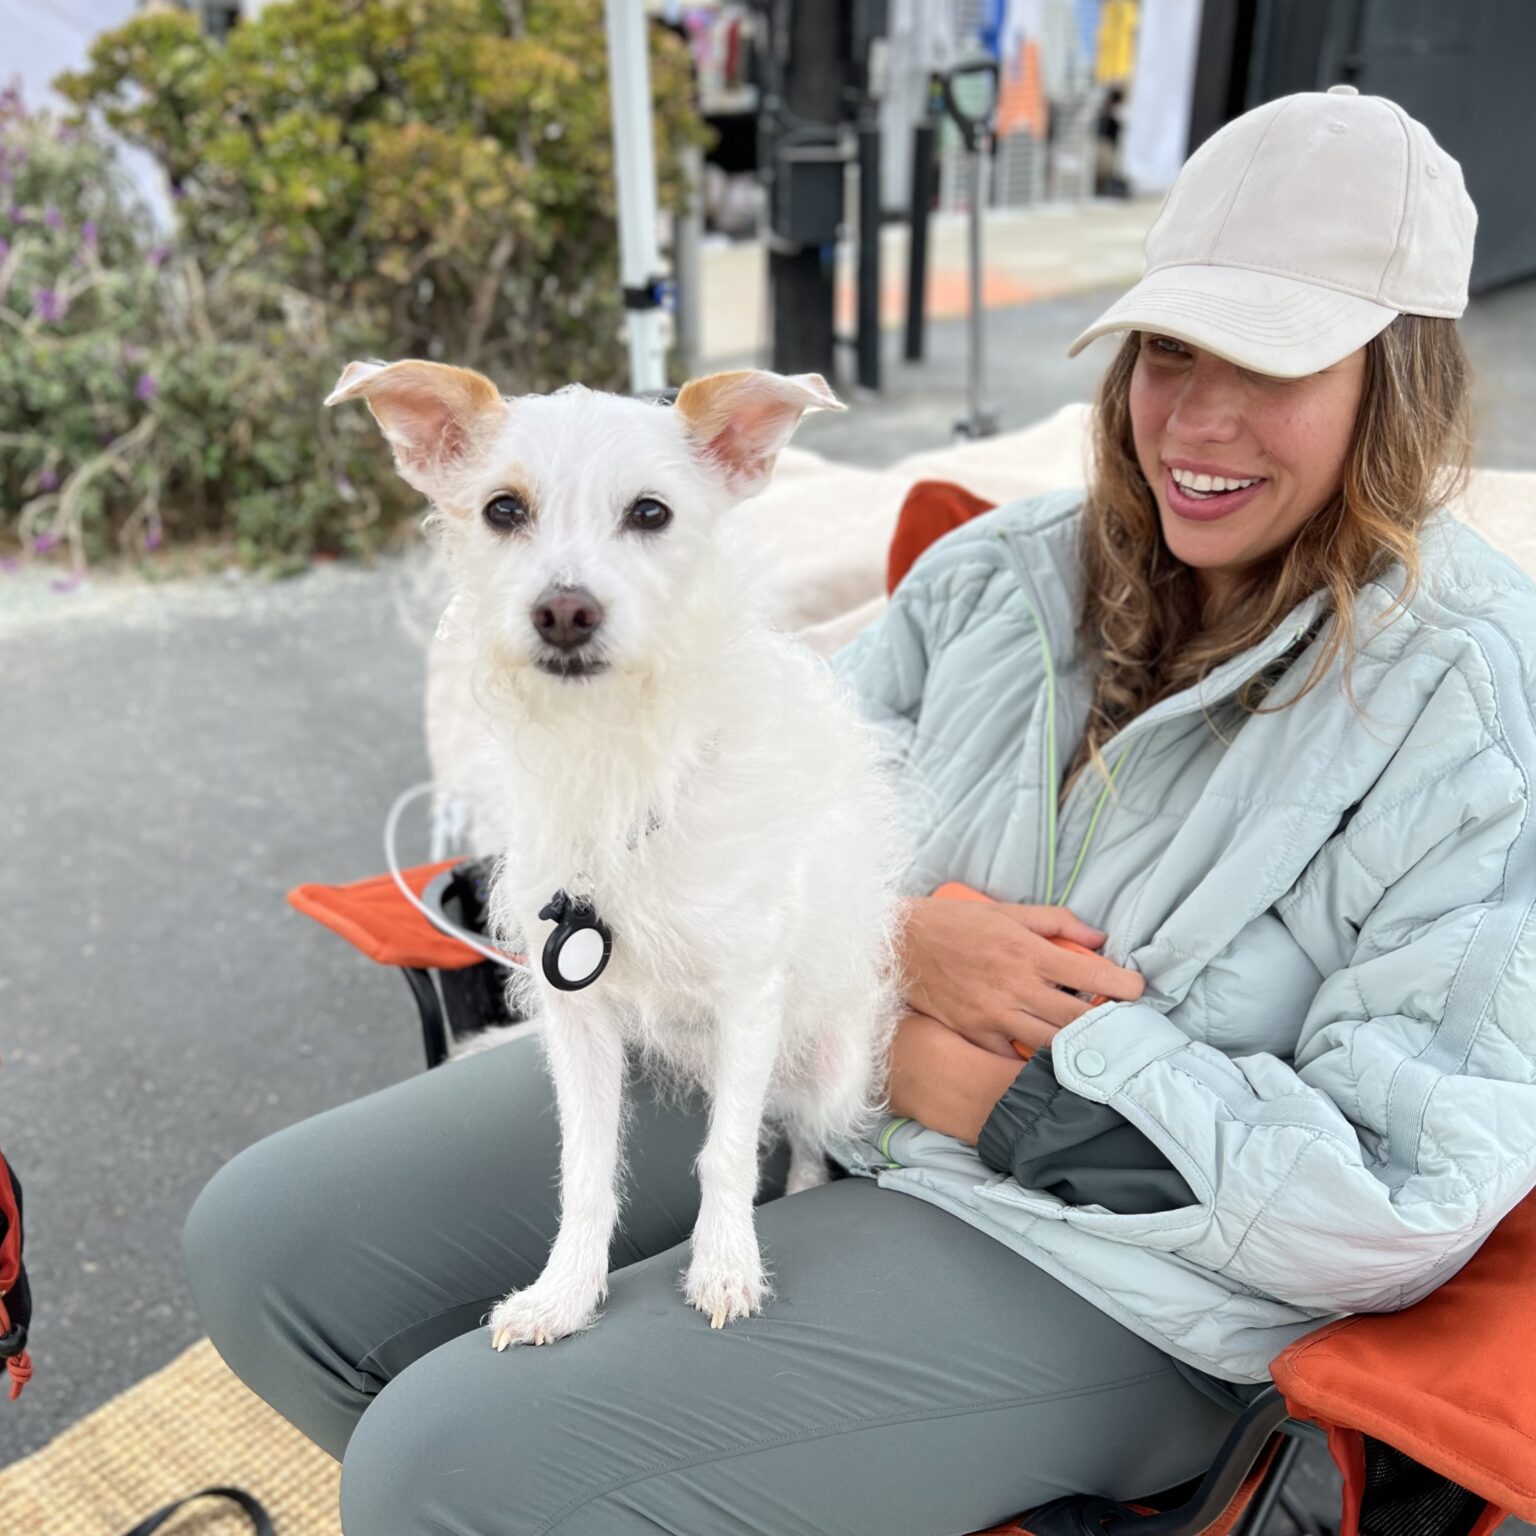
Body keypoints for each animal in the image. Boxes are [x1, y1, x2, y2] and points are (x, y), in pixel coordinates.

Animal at [324, 359, 897, 1345]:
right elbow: (587, 1169)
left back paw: (798, 1188)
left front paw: (725, 1266)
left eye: (651, 513)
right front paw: (565, 1292)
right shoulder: (578, 1018)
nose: (564, 609)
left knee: (801, 1132)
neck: (614, 755)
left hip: (829, 1067)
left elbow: (724, 1155)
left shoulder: (750, 994)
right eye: (503, 510)